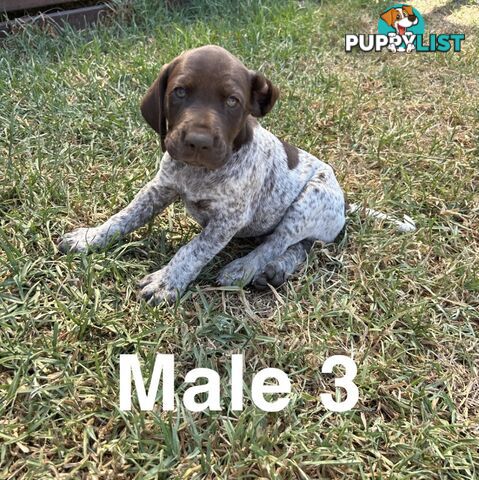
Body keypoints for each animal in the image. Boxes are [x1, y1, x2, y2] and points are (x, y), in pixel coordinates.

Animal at [57, 47, 416, 306]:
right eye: (180, 92)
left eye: (232, 101)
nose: (198, 141)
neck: (199, 172)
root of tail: (344, 204)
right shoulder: (160, 187)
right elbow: (124, 216)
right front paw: (90, 237)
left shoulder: (229, 218)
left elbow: (193, 250)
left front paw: (166, 281)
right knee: (300, 248)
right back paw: (275, 270)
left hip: (308, 201)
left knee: (277, 242)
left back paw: (245, 268)